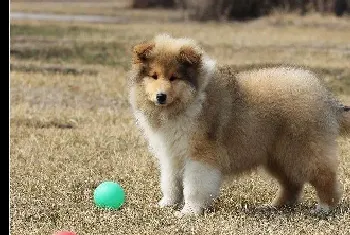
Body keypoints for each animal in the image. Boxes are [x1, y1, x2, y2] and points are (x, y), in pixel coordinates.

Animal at [128, 33, 350, 217]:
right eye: (154, 76)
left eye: (174, 77)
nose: (160, 96)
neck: (187, 101)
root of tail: (328, 100)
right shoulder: (172, 154)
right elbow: (171, 182)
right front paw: (166, 204)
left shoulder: (200, 155)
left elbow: (194, 186)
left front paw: (189, 212)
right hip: (278, 156)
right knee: (292, 184)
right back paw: (274, 206)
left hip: (304, 151)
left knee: (325, 177)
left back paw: (324, 208)